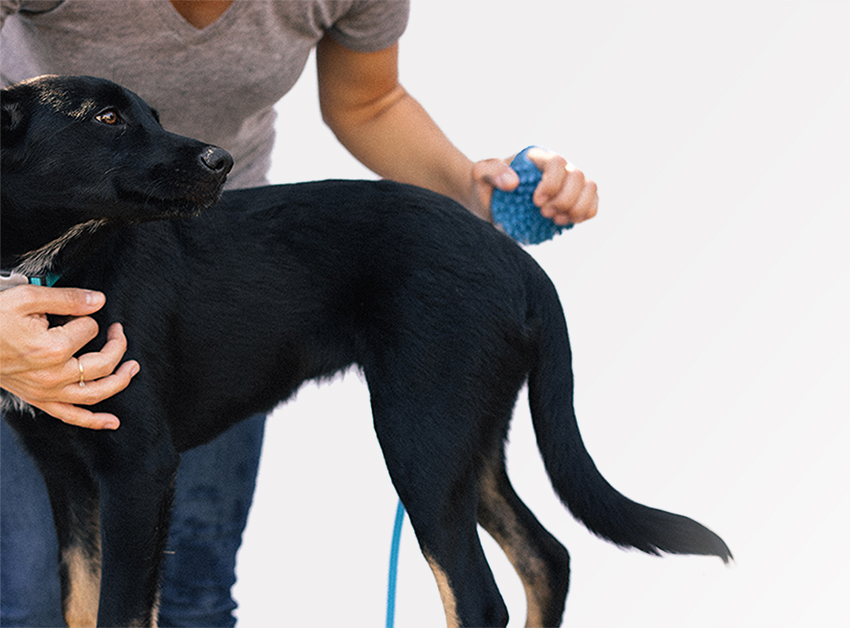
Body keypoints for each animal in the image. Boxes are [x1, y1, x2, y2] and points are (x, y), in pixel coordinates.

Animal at [0, 77, 728, 628]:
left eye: (152, 114)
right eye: (108, 117)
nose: (220, 162)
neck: (54, 261)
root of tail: (517, 257)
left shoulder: (140, 468)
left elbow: (118, 613)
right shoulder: (65, 472)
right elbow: (80, 605)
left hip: (420, 436)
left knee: (479, 601)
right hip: (469, 439)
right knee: (547, 558)